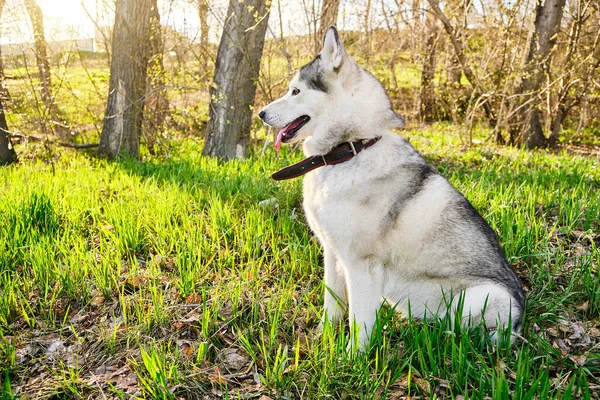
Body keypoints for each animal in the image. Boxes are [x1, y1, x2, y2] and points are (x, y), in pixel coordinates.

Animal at [258, 26, 524, 348]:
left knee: (464, 331)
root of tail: (519, 324)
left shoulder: (361, 265)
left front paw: (351, 356)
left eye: (295, 91)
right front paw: (323, 339)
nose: (260, 114)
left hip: (482, 297)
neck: (349, 150)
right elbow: (332, 305)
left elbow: (359, 321)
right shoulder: (333, 254)